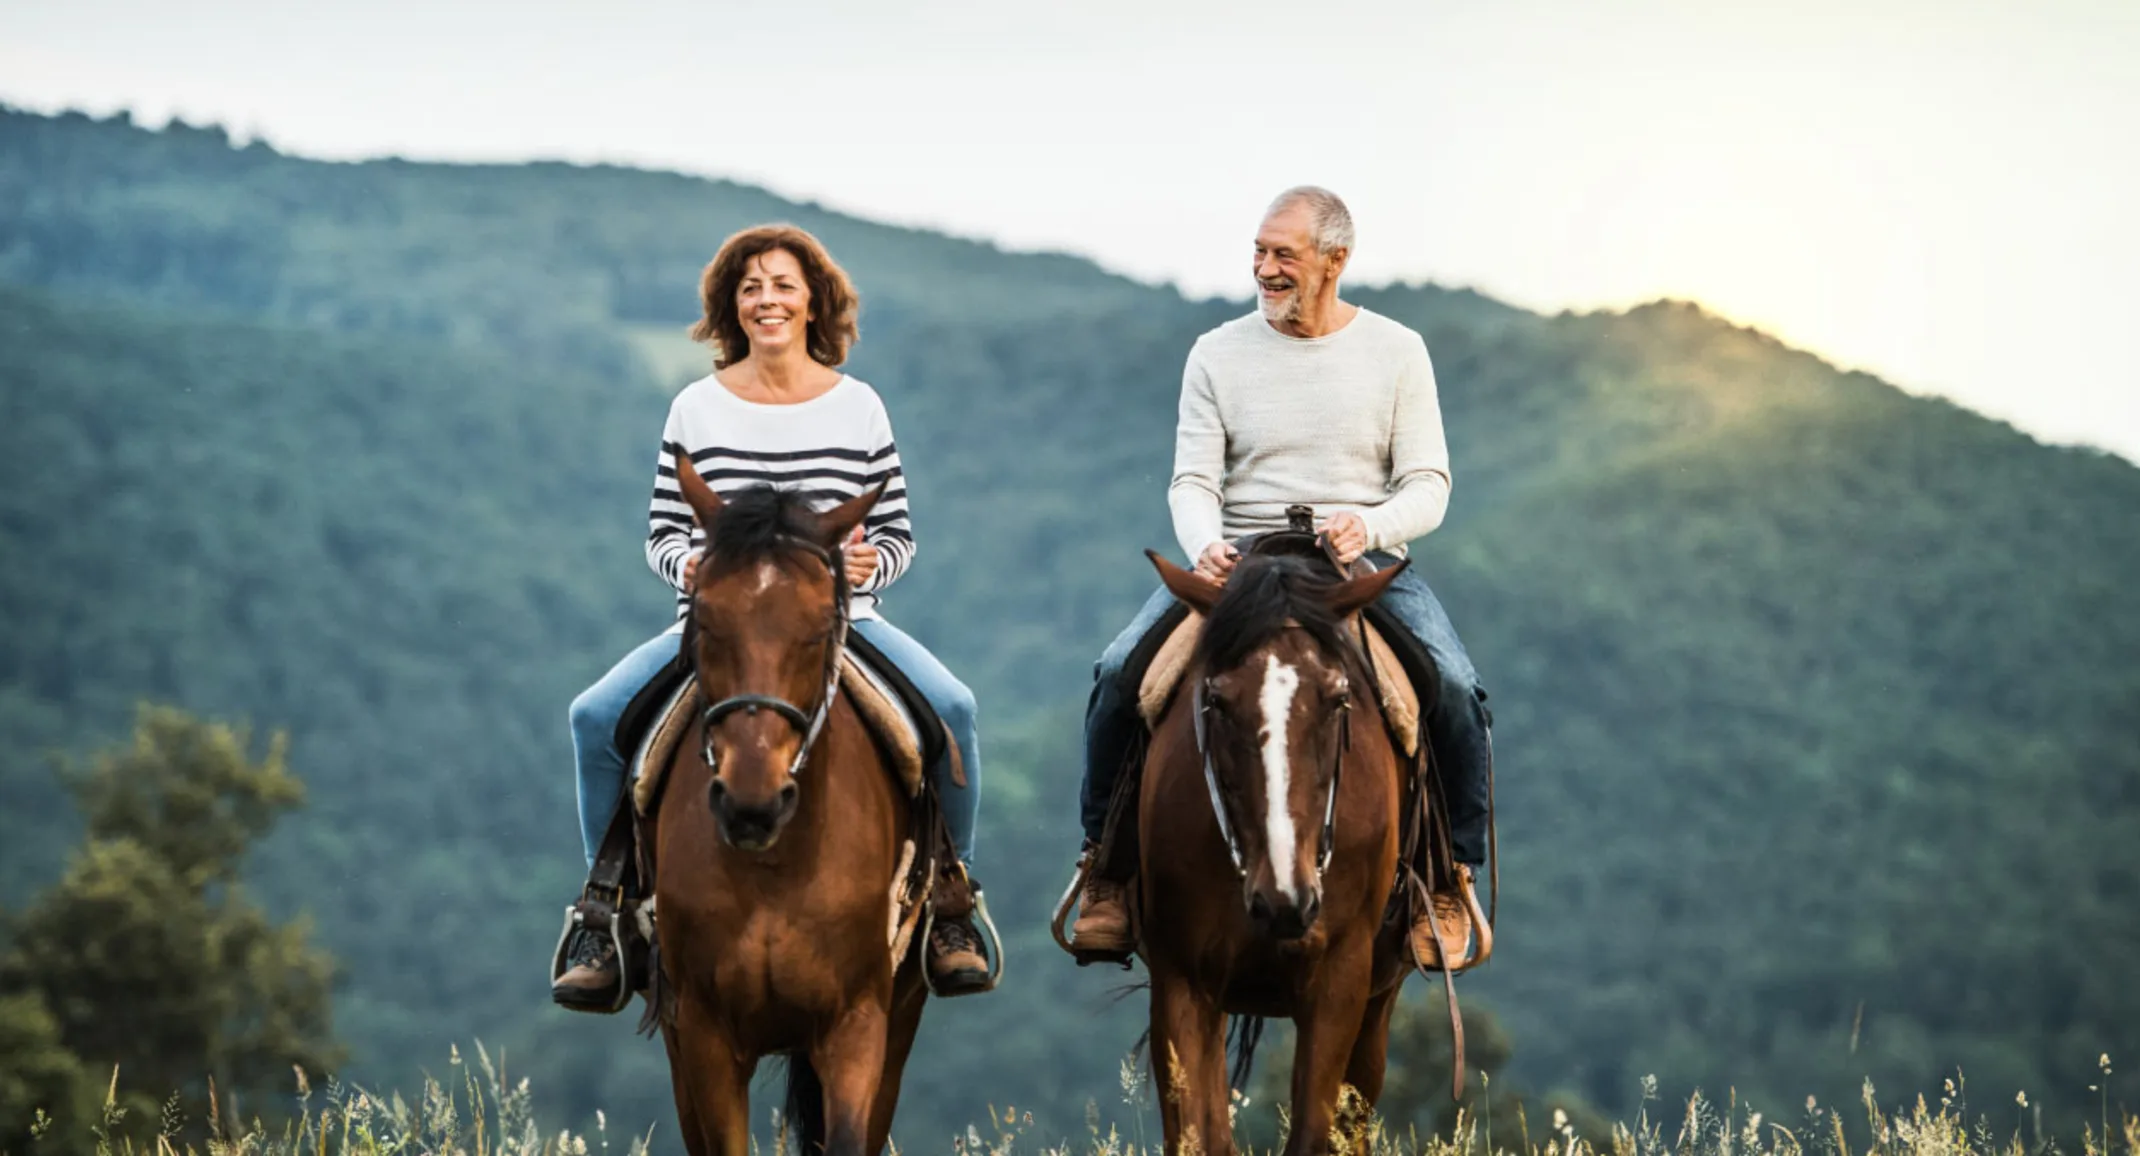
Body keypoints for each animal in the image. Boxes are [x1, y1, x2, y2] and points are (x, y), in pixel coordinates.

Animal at [642, 453, 928, 1156]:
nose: (753, 803)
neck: (776, 866)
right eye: (705, 619)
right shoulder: (704, 1034)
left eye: (821, 627)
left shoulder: (858, 1025)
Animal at [1138, 548, 1420, 1156]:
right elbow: (1195, 1135)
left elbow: (1316, 1134)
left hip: (1379, 1000)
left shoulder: (1341, 977)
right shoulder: (1181, 978)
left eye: (1339, 699)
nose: (1285, 901)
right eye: (1217, 702)